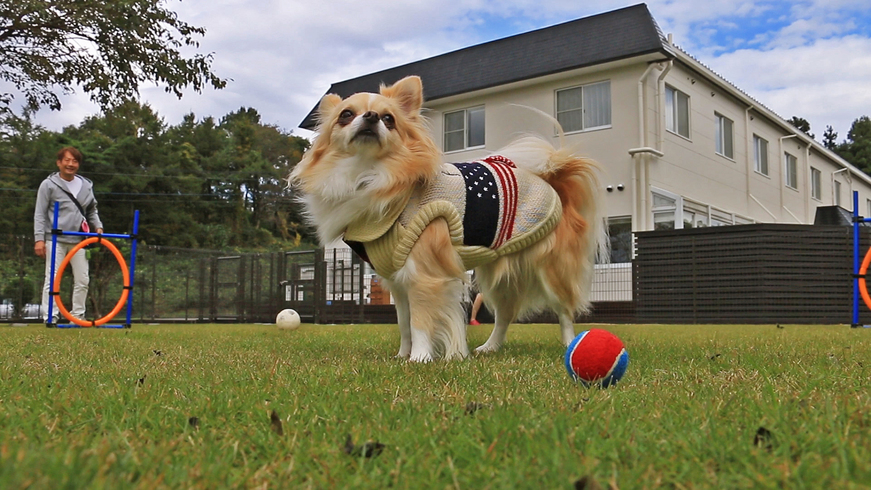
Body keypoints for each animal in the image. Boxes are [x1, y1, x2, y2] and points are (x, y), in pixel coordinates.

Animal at [290, 75, 604, 360]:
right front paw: (402, 355)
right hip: (500, 277)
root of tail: (554, 182)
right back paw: (490, 347)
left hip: (550, 269)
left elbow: (420, 322)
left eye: (389, 119)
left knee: (564, 310)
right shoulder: (398, 281)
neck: (371, 175)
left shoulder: (424, 274)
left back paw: (570, 344)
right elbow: (404, 323)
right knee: (505, 314)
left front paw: (419, 358)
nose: (371, 116)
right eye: (346, 115)